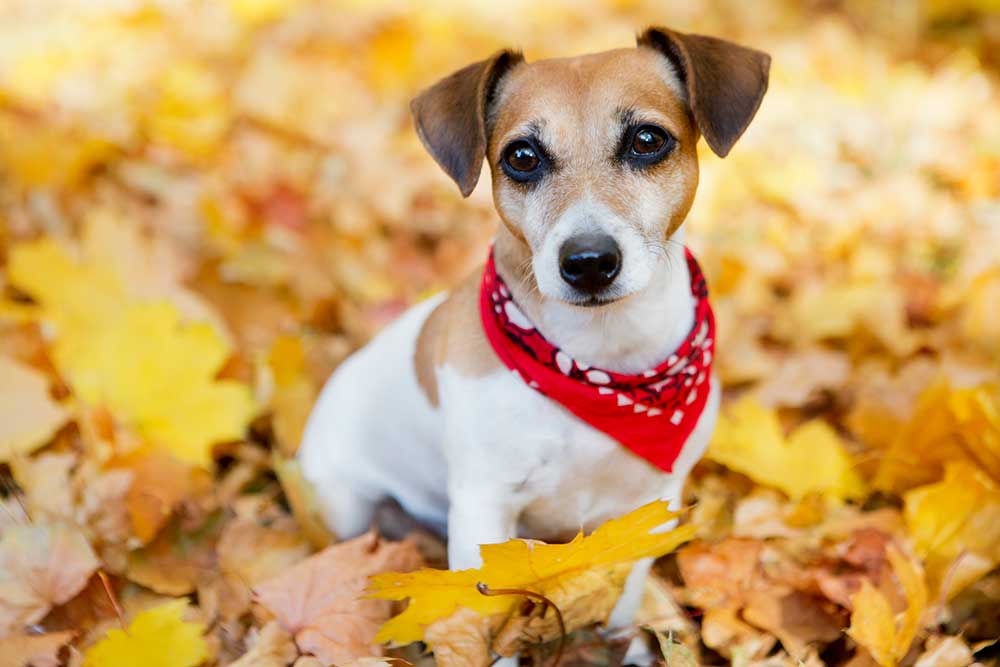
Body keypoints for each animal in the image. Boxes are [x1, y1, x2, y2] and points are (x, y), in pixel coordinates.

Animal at [300, 24, 768, 656]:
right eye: (522, 157)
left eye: (648, 140)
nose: (589, 261)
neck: (600, 367)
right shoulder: (484, 509)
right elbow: (485, 619)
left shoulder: (650, 509)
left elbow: (622, 597)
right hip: (346, 503)